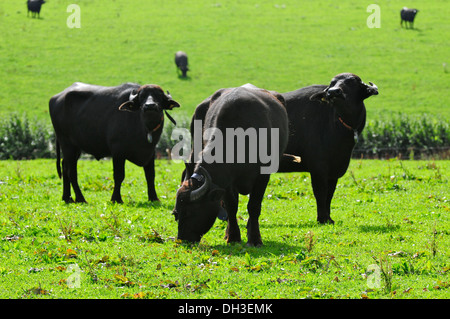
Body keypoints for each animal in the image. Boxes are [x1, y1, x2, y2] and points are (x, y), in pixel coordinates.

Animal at [50, 81, 180, 204]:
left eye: (159, 96)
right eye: (142, 96)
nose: (150, 106)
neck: (144, 128)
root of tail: (57, 97)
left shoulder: (150, 152)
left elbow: (150, 175)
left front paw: (154, 197)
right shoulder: (118, 151)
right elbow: (119, 175)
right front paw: (116, 198)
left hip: (75, 148)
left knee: (64, 166)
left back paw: (67, 198)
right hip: (67, 144)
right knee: (71, 172)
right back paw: (80, 198)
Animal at [172, 85, 292, 248]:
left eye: (190, 212)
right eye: (177, 212)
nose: (182, 239)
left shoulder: (263, 175)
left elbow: (254, 206)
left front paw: (255, 238)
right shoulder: (228, 181)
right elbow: (231, 206)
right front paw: (233, 237)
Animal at [278, 73, 380, 225]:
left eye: (352, 82)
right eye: (332, 83)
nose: (333, 92)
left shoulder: (334, 170)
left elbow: (329, 195)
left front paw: (329, 218)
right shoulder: (318, 169)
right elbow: (320, 193)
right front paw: (322, 218)